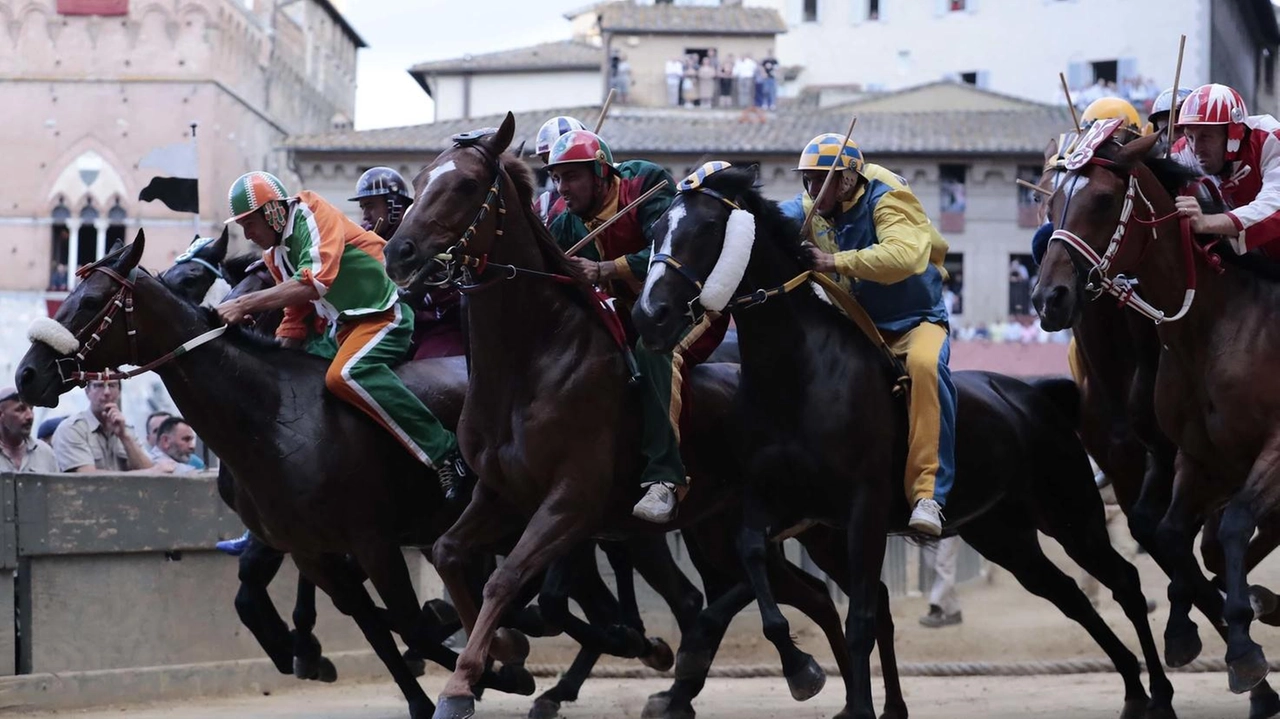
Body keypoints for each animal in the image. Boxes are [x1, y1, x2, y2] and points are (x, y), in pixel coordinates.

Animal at [627, 162, 1172, 716]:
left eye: (706, 228)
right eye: (655, 229)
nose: (650, 314)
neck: (801, 376)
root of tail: (1037, 393)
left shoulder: (862, 509)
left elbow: (862, 617)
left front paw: (857, 701)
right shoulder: (770, 500)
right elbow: (758, 564)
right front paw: (802, 671)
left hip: (1069, 510)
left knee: (1124, 582)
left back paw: (1158, 691)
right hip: (1002, 532)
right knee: (1069, 595)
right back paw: (1133, 688)